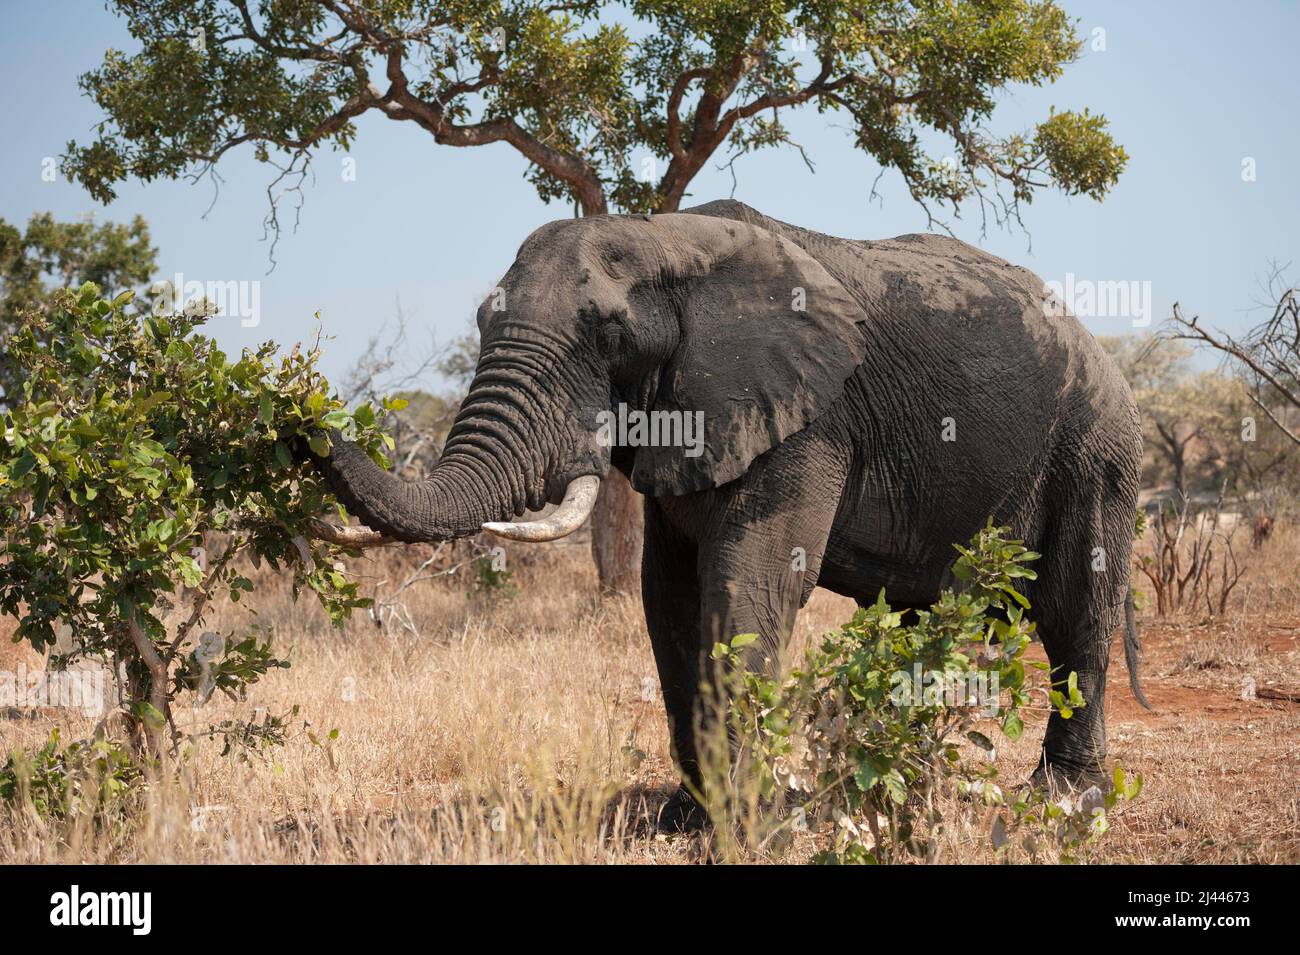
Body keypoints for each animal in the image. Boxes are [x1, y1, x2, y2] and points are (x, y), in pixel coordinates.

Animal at [322, 200, 1149, 831]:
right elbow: (671, 598)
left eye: (610, 334)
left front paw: (748, 824)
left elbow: (746, 582)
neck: (669, 240)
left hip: (1096, 446)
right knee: (925, 615)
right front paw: (689, 819)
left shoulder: (808, 419)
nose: (307, 423)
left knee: (1077, 611)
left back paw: (1065, 801)